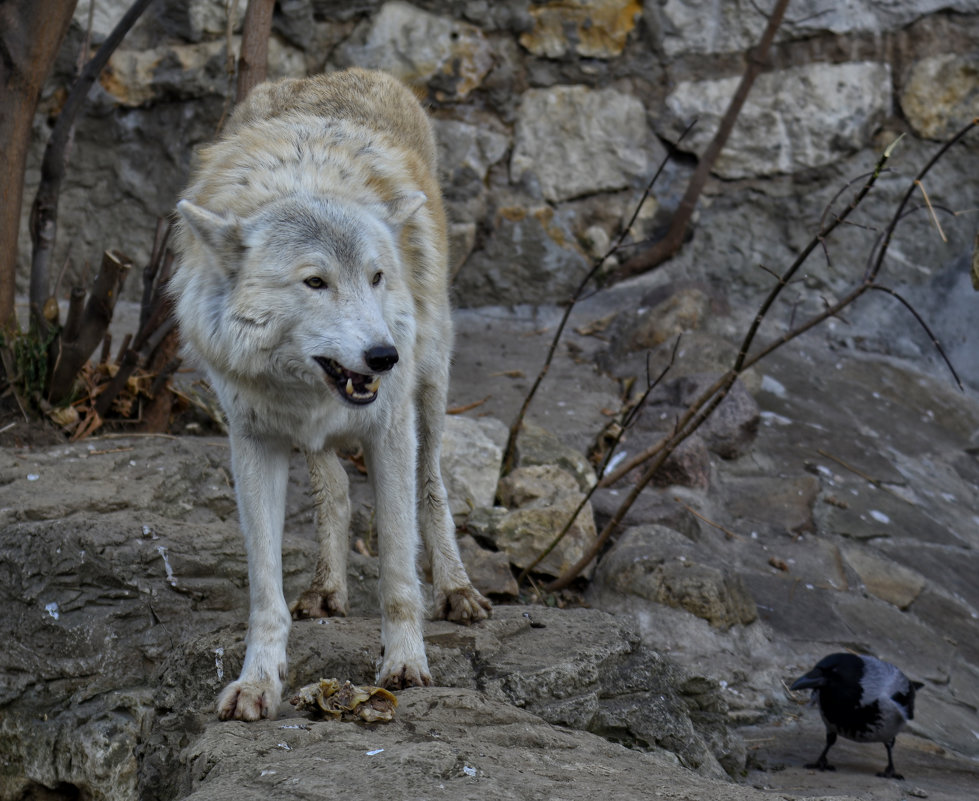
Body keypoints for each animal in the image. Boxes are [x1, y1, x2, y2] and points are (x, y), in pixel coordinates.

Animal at [170, 67, 490, 720]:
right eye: (315, 281)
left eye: (377, 277)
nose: (384, 356)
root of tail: (335, 73)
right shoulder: (255, 441)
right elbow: (265, 590)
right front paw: (258, 683)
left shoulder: (390, 429)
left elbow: (398, 568)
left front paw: (405, 664)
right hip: (314, 436)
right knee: (335, 488)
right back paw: (326, 587)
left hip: (431, 388)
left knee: (434, 487)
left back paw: (456, 589)